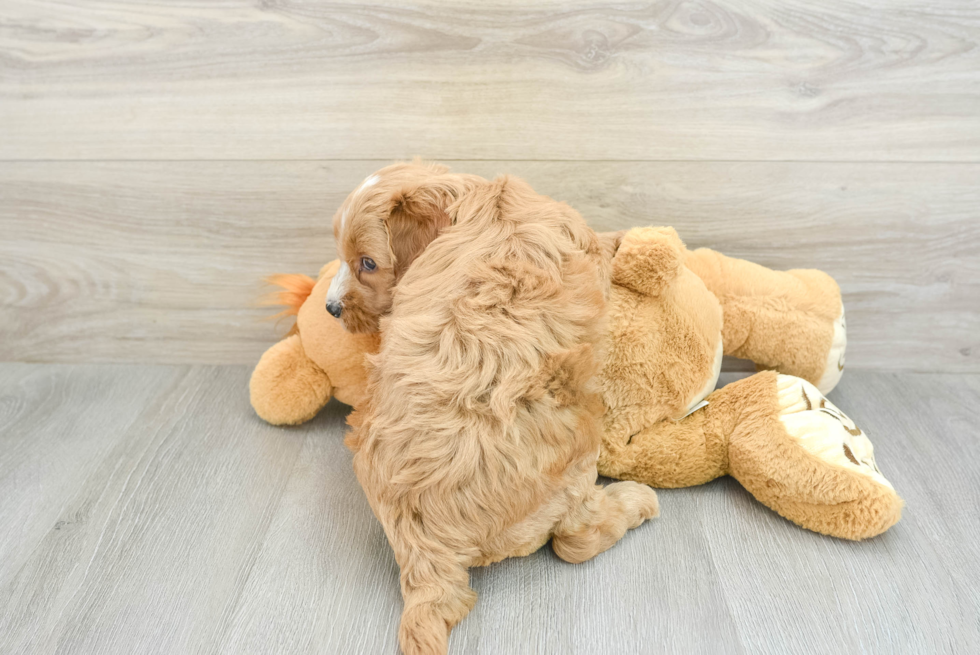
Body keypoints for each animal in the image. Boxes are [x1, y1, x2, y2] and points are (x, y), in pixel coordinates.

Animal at [344, 174, 660, 655]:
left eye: (366, 263)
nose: (331, 309)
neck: (480, 199)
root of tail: (427, 549)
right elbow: (601, 246)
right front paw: (626, 237)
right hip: (573, 462)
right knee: (575, 539)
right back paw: (635, 501)